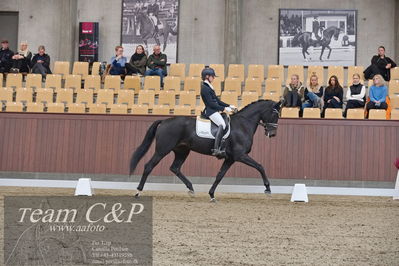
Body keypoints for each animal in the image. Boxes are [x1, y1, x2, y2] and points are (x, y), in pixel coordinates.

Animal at [129, 100, 282, 202]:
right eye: (275, 114)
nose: (273, 134)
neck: (243, 125)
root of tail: (164, 121)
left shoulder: (230, 158)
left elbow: (220, 175)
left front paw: (212, 194)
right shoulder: (240, 156)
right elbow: (260, 166)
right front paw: (268, 189)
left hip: (182, 151)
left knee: (175, 168)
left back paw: (191, 188)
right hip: (162, 150)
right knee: (149, 166)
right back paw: (138, 191)